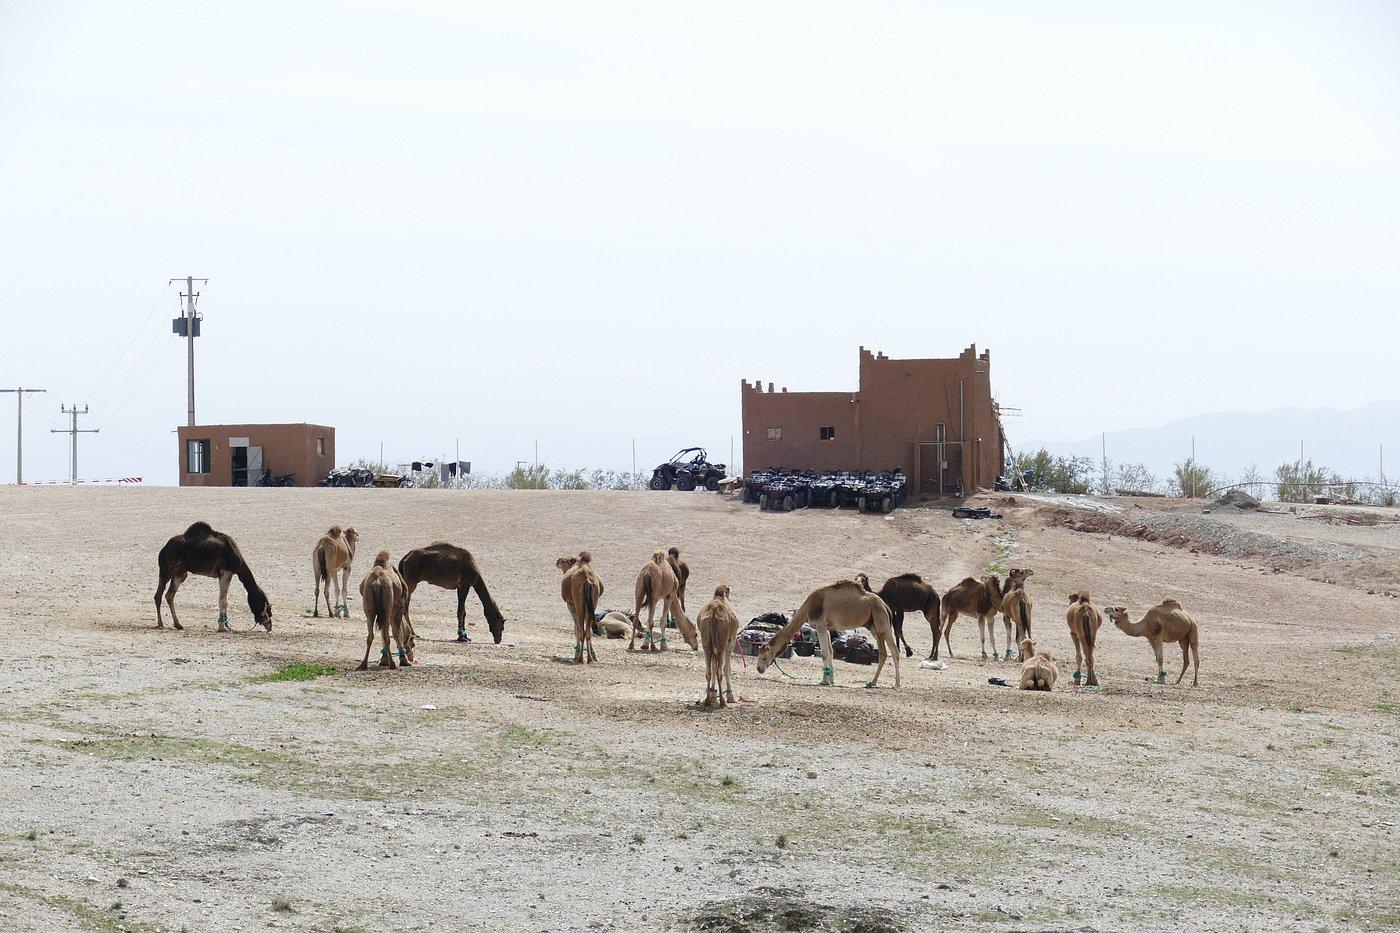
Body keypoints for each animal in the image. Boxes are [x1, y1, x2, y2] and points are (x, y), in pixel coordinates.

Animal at [756, 580, 900, 688]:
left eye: (763, 657)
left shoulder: (820, 625)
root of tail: (885, 606)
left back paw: (892, 684)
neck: (808, 609)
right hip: (873, 626)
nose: (759, 669)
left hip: (882, 621)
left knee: (893, 651)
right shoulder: (827, 627)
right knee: (885, 653)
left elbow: (824, 653)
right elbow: (830, 651)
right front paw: (831, 680)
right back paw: (877, 682)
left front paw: (823, 681)